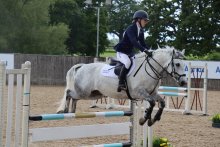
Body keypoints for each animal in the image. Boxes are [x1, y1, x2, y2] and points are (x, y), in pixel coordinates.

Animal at [57, 46, 187, 126]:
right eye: (177, 64)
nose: (184, 82)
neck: (150, 69)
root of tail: (82, 66)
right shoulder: (140, 93)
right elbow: (152, 103)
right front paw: (143, 119)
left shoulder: (153, 93)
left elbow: (162, 103)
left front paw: (153, 120)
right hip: (84, 92)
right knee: (69, 93)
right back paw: (64, 110)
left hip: (93, 94)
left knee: (74, 97)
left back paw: (71, 111)